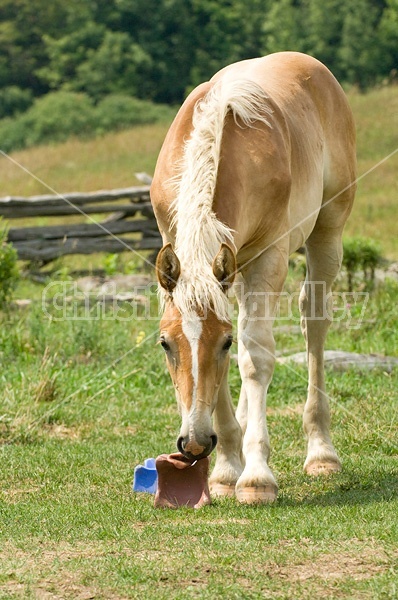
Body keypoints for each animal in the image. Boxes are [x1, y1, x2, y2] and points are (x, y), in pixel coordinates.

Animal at [151, 51, 356, 504]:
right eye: (166, 344)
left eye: (222, 342)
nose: (193, 444)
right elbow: (233, 366)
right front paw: (227, 468)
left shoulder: (268, 259)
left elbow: (254, 356)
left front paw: (256, 476)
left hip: (327, 233)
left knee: (313, 324)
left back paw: (321, 453)